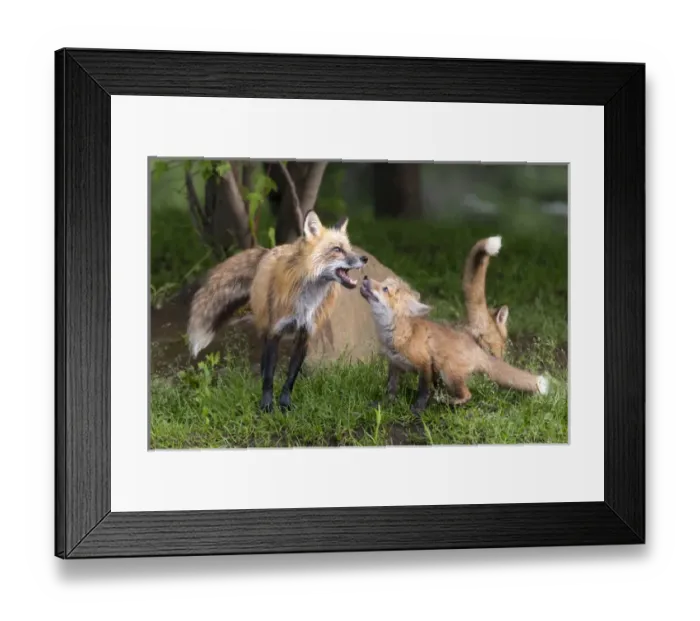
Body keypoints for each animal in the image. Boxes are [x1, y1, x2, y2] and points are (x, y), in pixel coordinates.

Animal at [187, 210, 368, 412]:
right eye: (337, 249)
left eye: (350, 248)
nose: (364, 259)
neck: (306, 301)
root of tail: (269, 250)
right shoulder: (275, 331)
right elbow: (268, 376)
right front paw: (266, 405)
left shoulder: (304, 335)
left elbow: (291, 378)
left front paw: (285, 404)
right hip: (265, 326)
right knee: (264, 364)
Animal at [359, 274, 549, 415]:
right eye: (381, 282)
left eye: (385, 289)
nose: (365, 277)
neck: (398, 335)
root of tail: (477, 348)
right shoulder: (394, 364)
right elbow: (390, 389)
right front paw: (383, 404)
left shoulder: (424, 363)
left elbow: (423, 390)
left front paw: (418, 409)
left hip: (447, 370)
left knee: (467, 394)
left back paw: (447, 402)